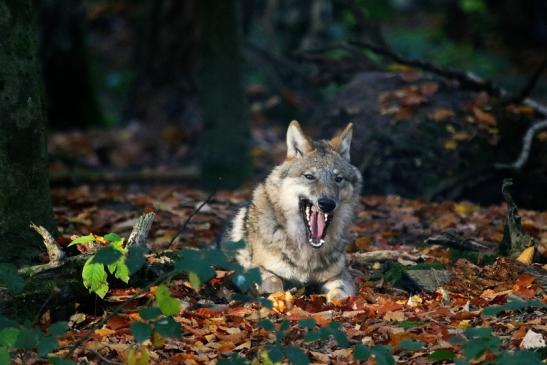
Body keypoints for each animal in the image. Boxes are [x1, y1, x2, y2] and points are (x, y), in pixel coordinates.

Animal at [225, 121, 362, 300]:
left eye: (338, 179)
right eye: (309, 177)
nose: (327, 203)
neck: (307, 253)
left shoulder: (339, 275)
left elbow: (340, 293)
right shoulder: (254, 270)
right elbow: (274, 282)